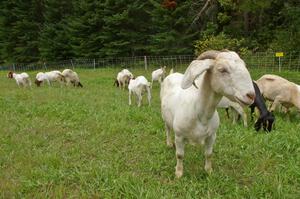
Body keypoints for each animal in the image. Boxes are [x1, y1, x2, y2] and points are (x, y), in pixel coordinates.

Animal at [161, 49, 254, 177]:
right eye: (222, 69)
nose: (251, 95)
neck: (200, 114)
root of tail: (172, 74)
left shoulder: (212, 136)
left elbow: (208, 154)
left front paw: (209, 171)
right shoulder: (179, 136)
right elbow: (179, 155)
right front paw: (179, 173)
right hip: (165, 118)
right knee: (167, 129)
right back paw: (169, 143)